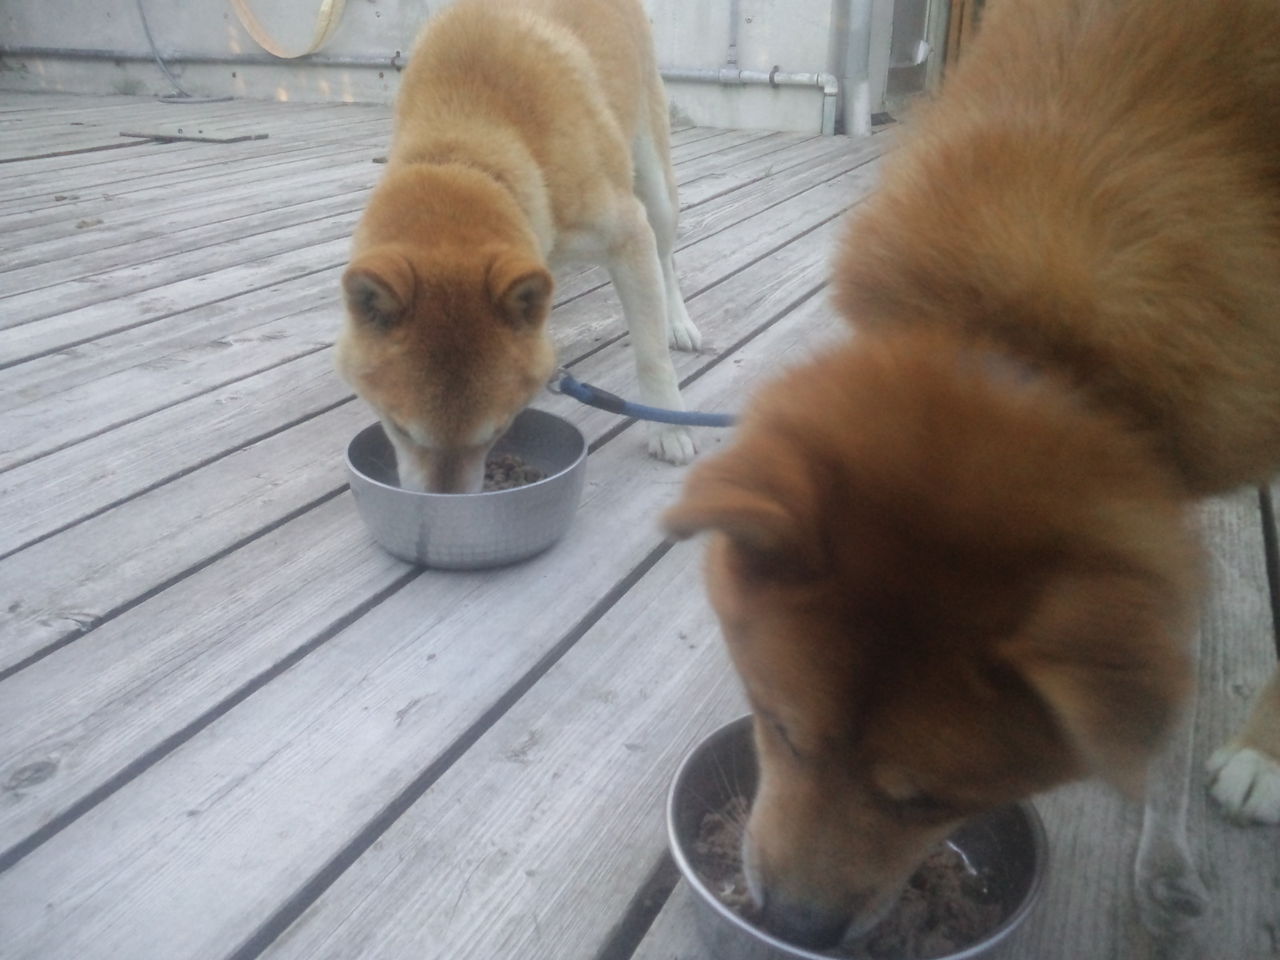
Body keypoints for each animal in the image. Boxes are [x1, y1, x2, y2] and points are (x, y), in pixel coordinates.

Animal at [335, 0, 700, 493]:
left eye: (498, 431)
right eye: (399, 429)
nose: (442, 505)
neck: (470, 139)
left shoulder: (629, 235)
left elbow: (651, 356)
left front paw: (668, 426)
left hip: (656, 188)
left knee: (666, 259)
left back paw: (677, 321)